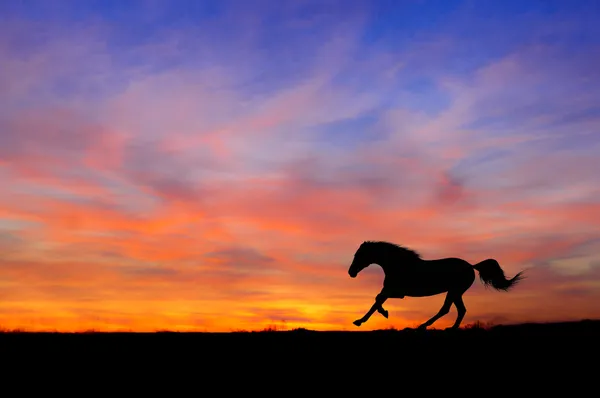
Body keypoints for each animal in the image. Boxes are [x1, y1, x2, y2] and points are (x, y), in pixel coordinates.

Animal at [346, 239, 524, 330]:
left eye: (359, 255)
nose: (351, 272)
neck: (398, 265)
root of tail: (471, 266)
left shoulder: (395, 291)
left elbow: (376, 301)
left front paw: (362, 320)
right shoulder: (392, 291)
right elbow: (377, 300)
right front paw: (374, 316)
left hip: (454, 291)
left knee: (446, 309)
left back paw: (424, 326)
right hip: (456, 292)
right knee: (460, 310)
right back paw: (450, 328)